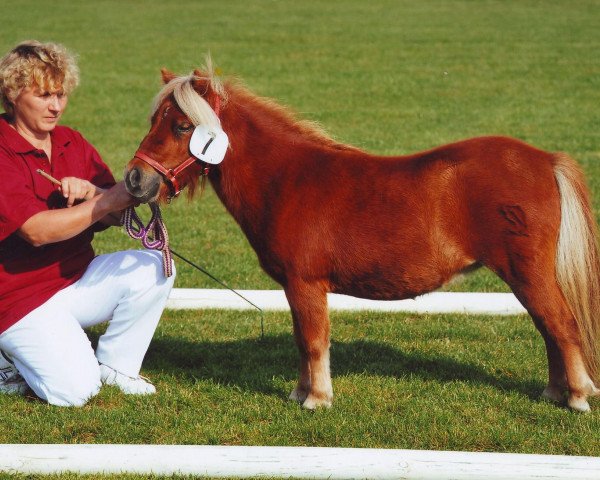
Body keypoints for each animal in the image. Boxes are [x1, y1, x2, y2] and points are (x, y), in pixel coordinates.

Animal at [124, 64, 600, 412]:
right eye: (153, 120)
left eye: (182, 125)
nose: (135, 179)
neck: (288, 180)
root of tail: (545, 160)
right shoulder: (296, 289)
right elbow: (302, 341)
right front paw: (301, 393)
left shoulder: (306, 285)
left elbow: (314, 341)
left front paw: (316, 400)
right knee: (548, 328)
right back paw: (553, 393)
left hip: (527, 274)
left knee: (562, 326)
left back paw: (577, 398)